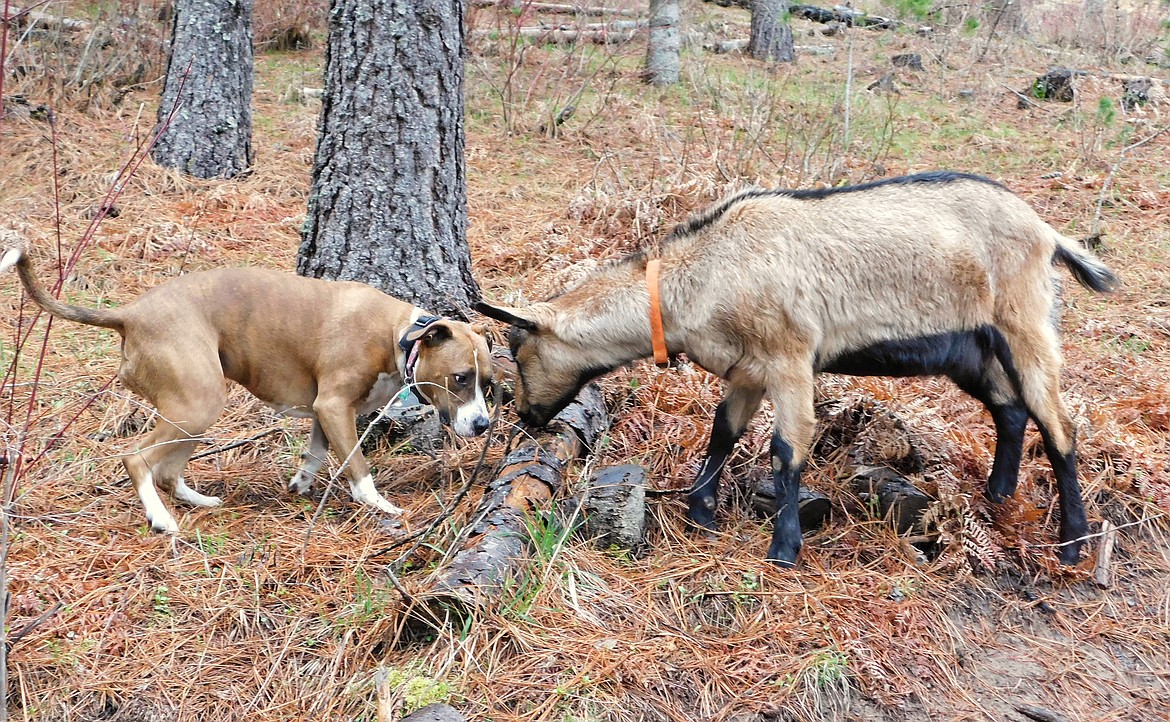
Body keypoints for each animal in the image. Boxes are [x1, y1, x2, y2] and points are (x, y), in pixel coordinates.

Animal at [3, 244, 493, 531]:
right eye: (460, 378)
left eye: (489, 382)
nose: (483, 426)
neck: (399, 335)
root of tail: (130, 314)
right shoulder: (336, 405)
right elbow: (358, 467)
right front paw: (381, 506)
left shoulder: (324, 412)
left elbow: (315, 454)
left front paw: (301, 483)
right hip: (197, 403)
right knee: (136, 458)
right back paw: (161, 518)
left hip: (192, 411)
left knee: (167, 469)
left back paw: (197, 500)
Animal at [479, 172, 1118, 566]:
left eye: (516, 347)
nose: (525, 416)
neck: (699, 275)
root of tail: (1048, 233)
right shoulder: (747, 367)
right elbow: (723, 432)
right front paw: (700, 515)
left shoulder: (789, 358)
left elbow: (788, 448)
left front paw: (783, 549)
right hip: (970, 348)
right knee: (1010, 409)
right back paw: (997, 496)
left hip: (1024, 323)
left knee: (1059, 425)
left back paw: (1072, 545)